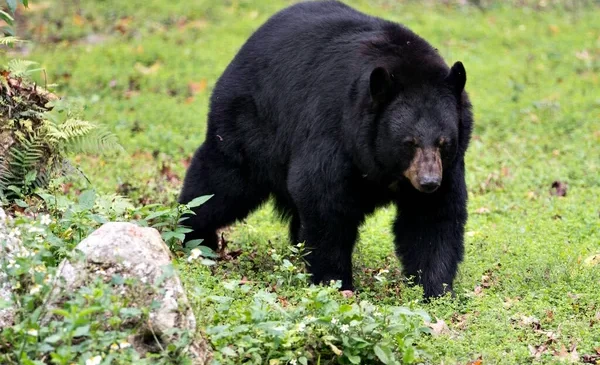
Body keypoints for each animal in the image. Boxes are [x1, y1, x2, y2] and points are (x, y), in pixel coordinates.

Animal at [178, 0, 474, 298]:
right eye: (409, 142)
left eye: (444, 142)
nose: (428, 182)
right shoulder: (334, 129)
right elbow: (324, 199)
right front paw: (335, 282)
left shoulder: (448, 167)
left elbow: (431, 218)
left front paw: (435, 289)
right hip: (251, 122)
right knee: (221, 182)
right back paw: (193, 235)